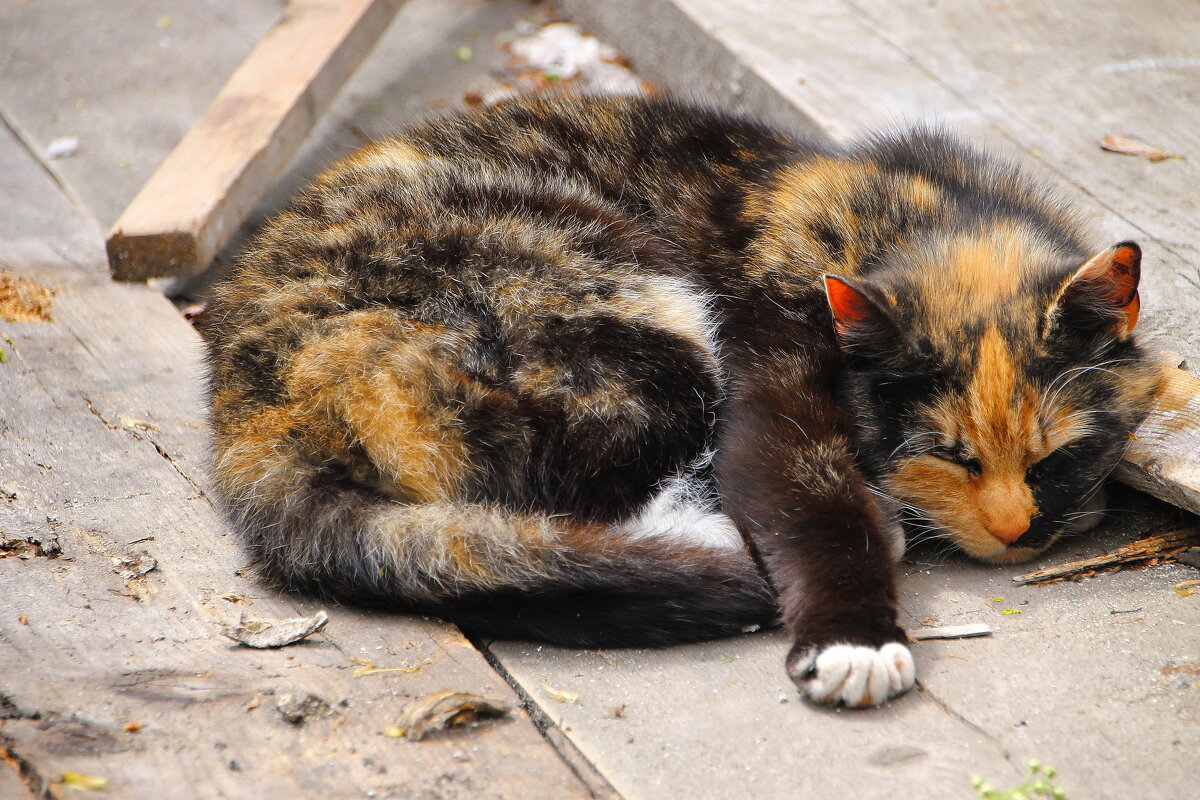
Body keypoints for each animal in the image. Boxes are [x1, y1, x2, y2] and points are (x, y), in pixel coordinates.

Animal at [204, 95, 1161, 705]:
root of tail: (248, 412)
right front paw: (856, 642)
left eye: (1057, 454)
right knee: (572, 491)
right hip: (640, 326)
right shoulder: (774, 378)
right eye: (946, 454)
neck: (905, 222)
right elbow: (811, 502)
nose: (1015, 531)